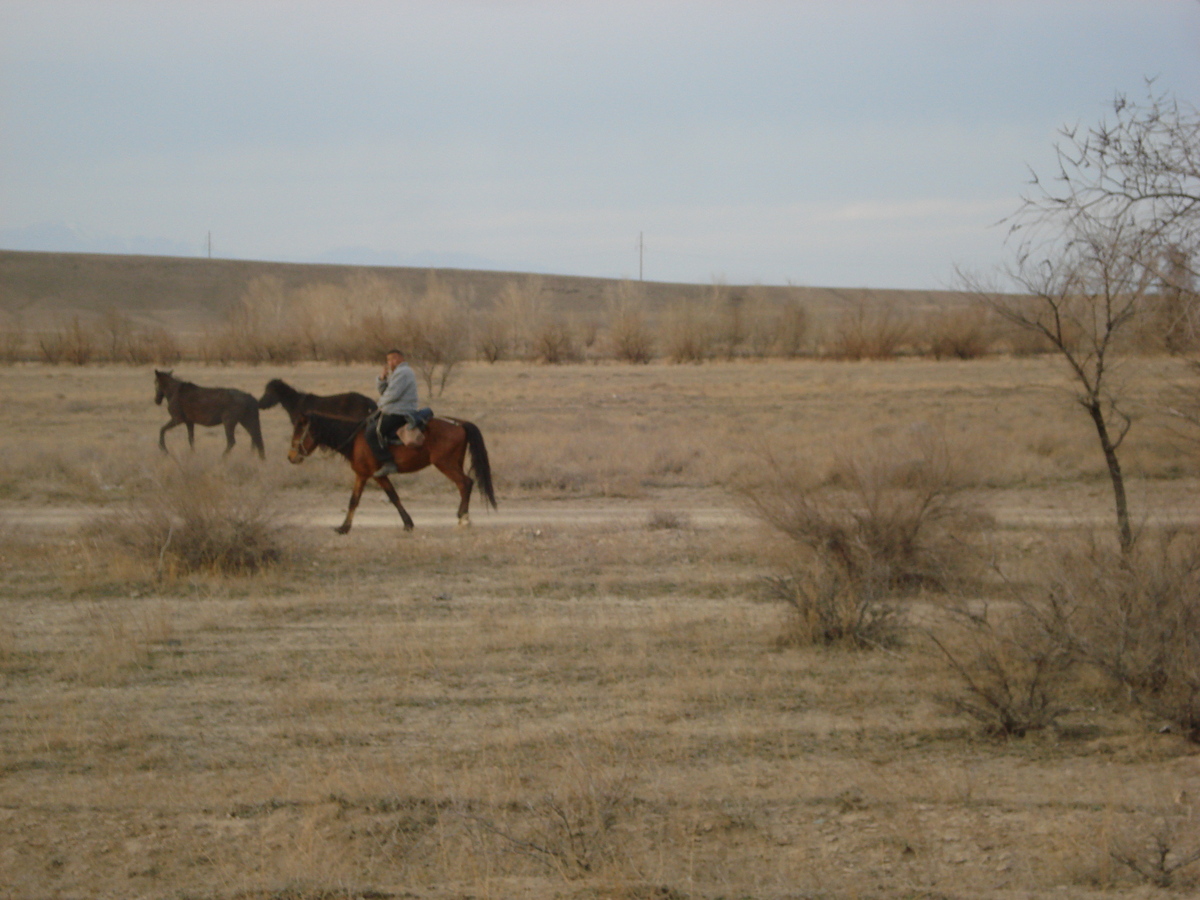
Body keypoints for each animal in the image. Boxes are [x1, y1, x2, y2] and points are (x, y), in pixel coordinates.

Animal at [288, 412, 494, 532]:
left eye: (299, 432)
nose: (291, 457)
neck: (356, 439)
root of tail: (459, 423)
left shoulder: (373, 475)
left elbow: (382, 497)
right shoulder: (366, 475)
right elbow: (365, 499)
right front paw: (344, 527)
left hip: (445, 464)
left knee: (465, 483)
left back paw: (463, 518)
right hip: (454, 462)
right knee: (465, 484)